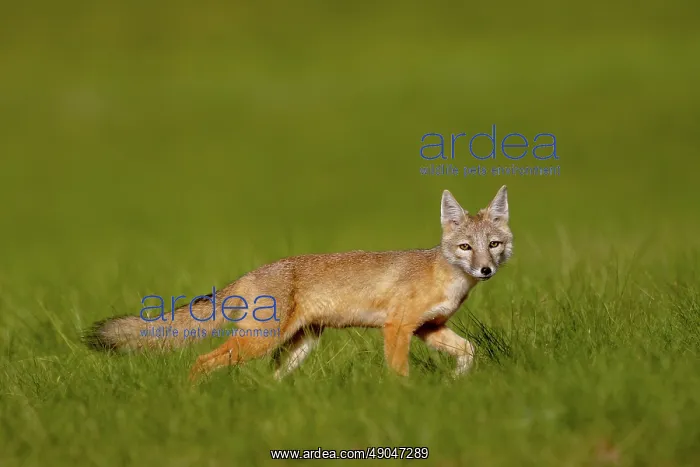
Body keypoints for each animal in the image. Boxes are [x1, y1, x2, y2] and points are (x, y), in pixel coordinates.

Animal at [83, 186, 513, 381]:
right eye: (465, 247)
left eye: (492, 245)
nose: (485, 270)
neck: (446, 279)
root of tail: (246, 275)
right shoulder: (397, 327)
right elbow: (399, 372)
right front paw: (406, 397)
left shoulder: (428, 328)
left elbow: (469, 351)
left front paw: (457, 381)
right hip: (259, 342)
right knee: (200, 362)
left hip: (298, 347)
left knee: (270, 380)